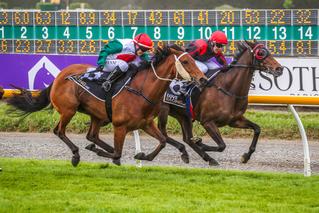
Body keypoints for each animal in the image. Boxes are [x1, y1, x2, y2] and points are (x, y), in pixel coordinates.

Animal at [7, 44, 209, 166]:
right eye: (185, 61)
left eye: (193, 60)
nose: (203, 79)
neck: (140, 90)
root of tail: (59, 76)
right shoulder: (120, 127)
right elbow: (118, 154)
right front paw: (105, 153)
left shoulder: (146, 123)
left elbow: (162, 142)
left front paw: (143, 155)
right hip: (68, 110)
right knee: (60, 131)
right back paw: (76, 154)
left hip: (97, 115)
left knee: (92, 135)